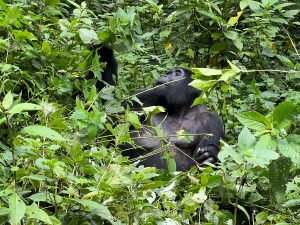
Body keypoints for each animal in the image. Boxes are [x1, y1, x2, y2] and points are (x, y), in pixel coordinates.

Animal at [95, 45, 224, 171]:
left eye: (178, 73)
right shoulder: (145, 97)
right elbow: (107, 127)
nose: (166, 75)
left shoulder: (212, 121)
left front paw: (210, 155)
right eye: (169, 72)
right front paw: (104, 51)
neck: (180, 111)